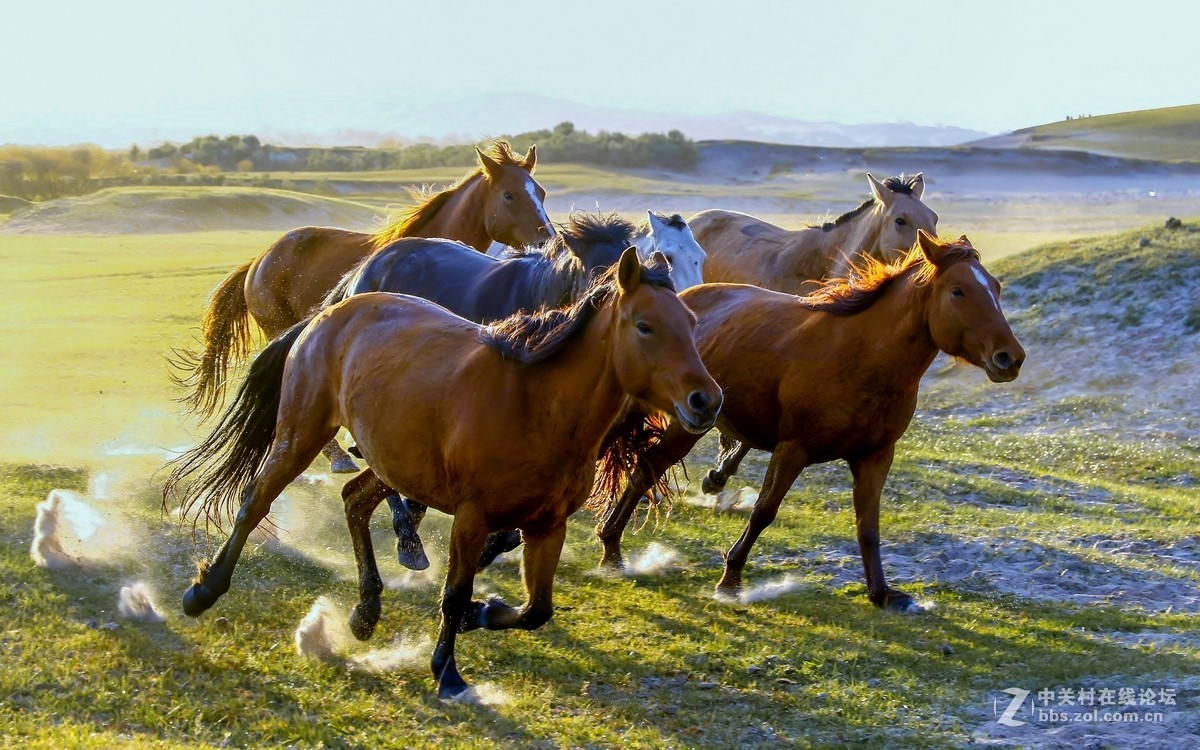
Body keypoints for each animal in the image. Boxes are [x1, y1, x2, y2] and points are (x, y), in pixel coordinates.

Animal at [159, 249, 720, 696]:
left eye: (693, 324)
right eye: (645, 325)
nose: (706, 400)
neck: (534, 404)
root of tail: (328, 314)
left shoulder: (548, 525)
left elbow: (536, 610)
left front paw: (483, 613)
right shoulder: (472, 519)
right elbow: (454, 594)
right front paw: (447, 672)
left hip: (391, 461)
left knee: (355, 500)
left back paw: (366, 612)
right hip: (302, 433)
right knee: (256, 500)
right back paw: (203, 592)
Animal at [595, 231, 1027, 612]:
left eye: (996, 288)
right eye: (958, 291)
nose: (1011, 357)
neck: (861, 357)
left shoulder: (876, 457)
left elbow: (868, 527)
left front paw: (883, 594)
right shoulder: (794, 449)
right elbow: (764, 512)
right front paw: (730, 580)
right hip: (667, 422)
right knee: (642, 469)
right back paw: (611, 547)